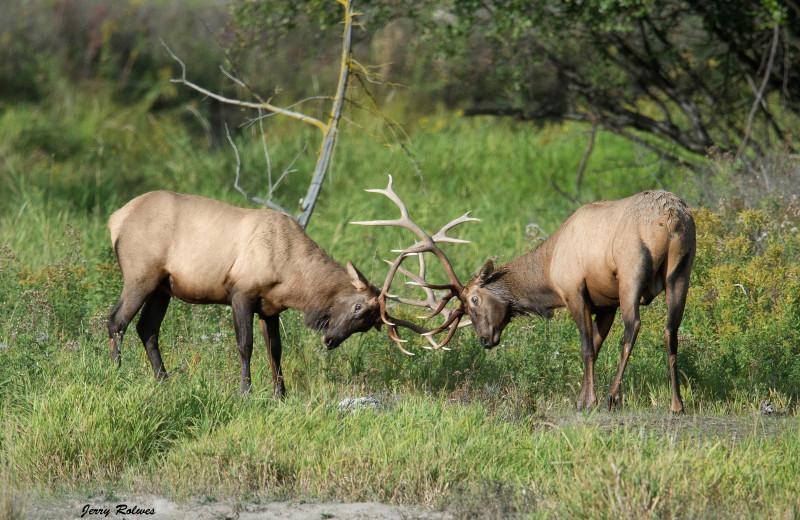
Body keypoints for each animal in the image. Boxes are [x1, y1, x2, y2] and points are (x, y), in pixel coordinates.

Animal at [106, 189, 388, 396]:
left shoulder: (270, 308)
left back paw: (165, 382)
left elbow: (275, 349)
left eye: (366, 326)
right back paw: (116, 372)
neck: (292, 278)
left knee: (147, 328)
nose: (330, 340)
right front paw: (245, 392)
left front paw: (280, 395)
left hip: (163, 287)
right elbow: (245, 345)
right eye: (358, 306)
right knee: (117, 320)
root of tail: (115, 219)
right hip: (140, 275)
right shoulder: (240, 293)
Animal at [462, 189, 692, 412]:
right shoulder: (607, 304)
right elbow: (596, 346)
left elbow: (586, 348)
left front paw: (589, 402)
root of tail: (672, 218)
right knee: (671, 330)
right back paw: (676, 404)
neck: (549, 268)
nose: (484, 340)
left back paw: (612, 397)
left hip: (631, 272)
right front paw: (580, 400)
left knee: (633, 326)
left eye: (474, 299)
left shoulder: (574, 292)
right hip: (680, 271)